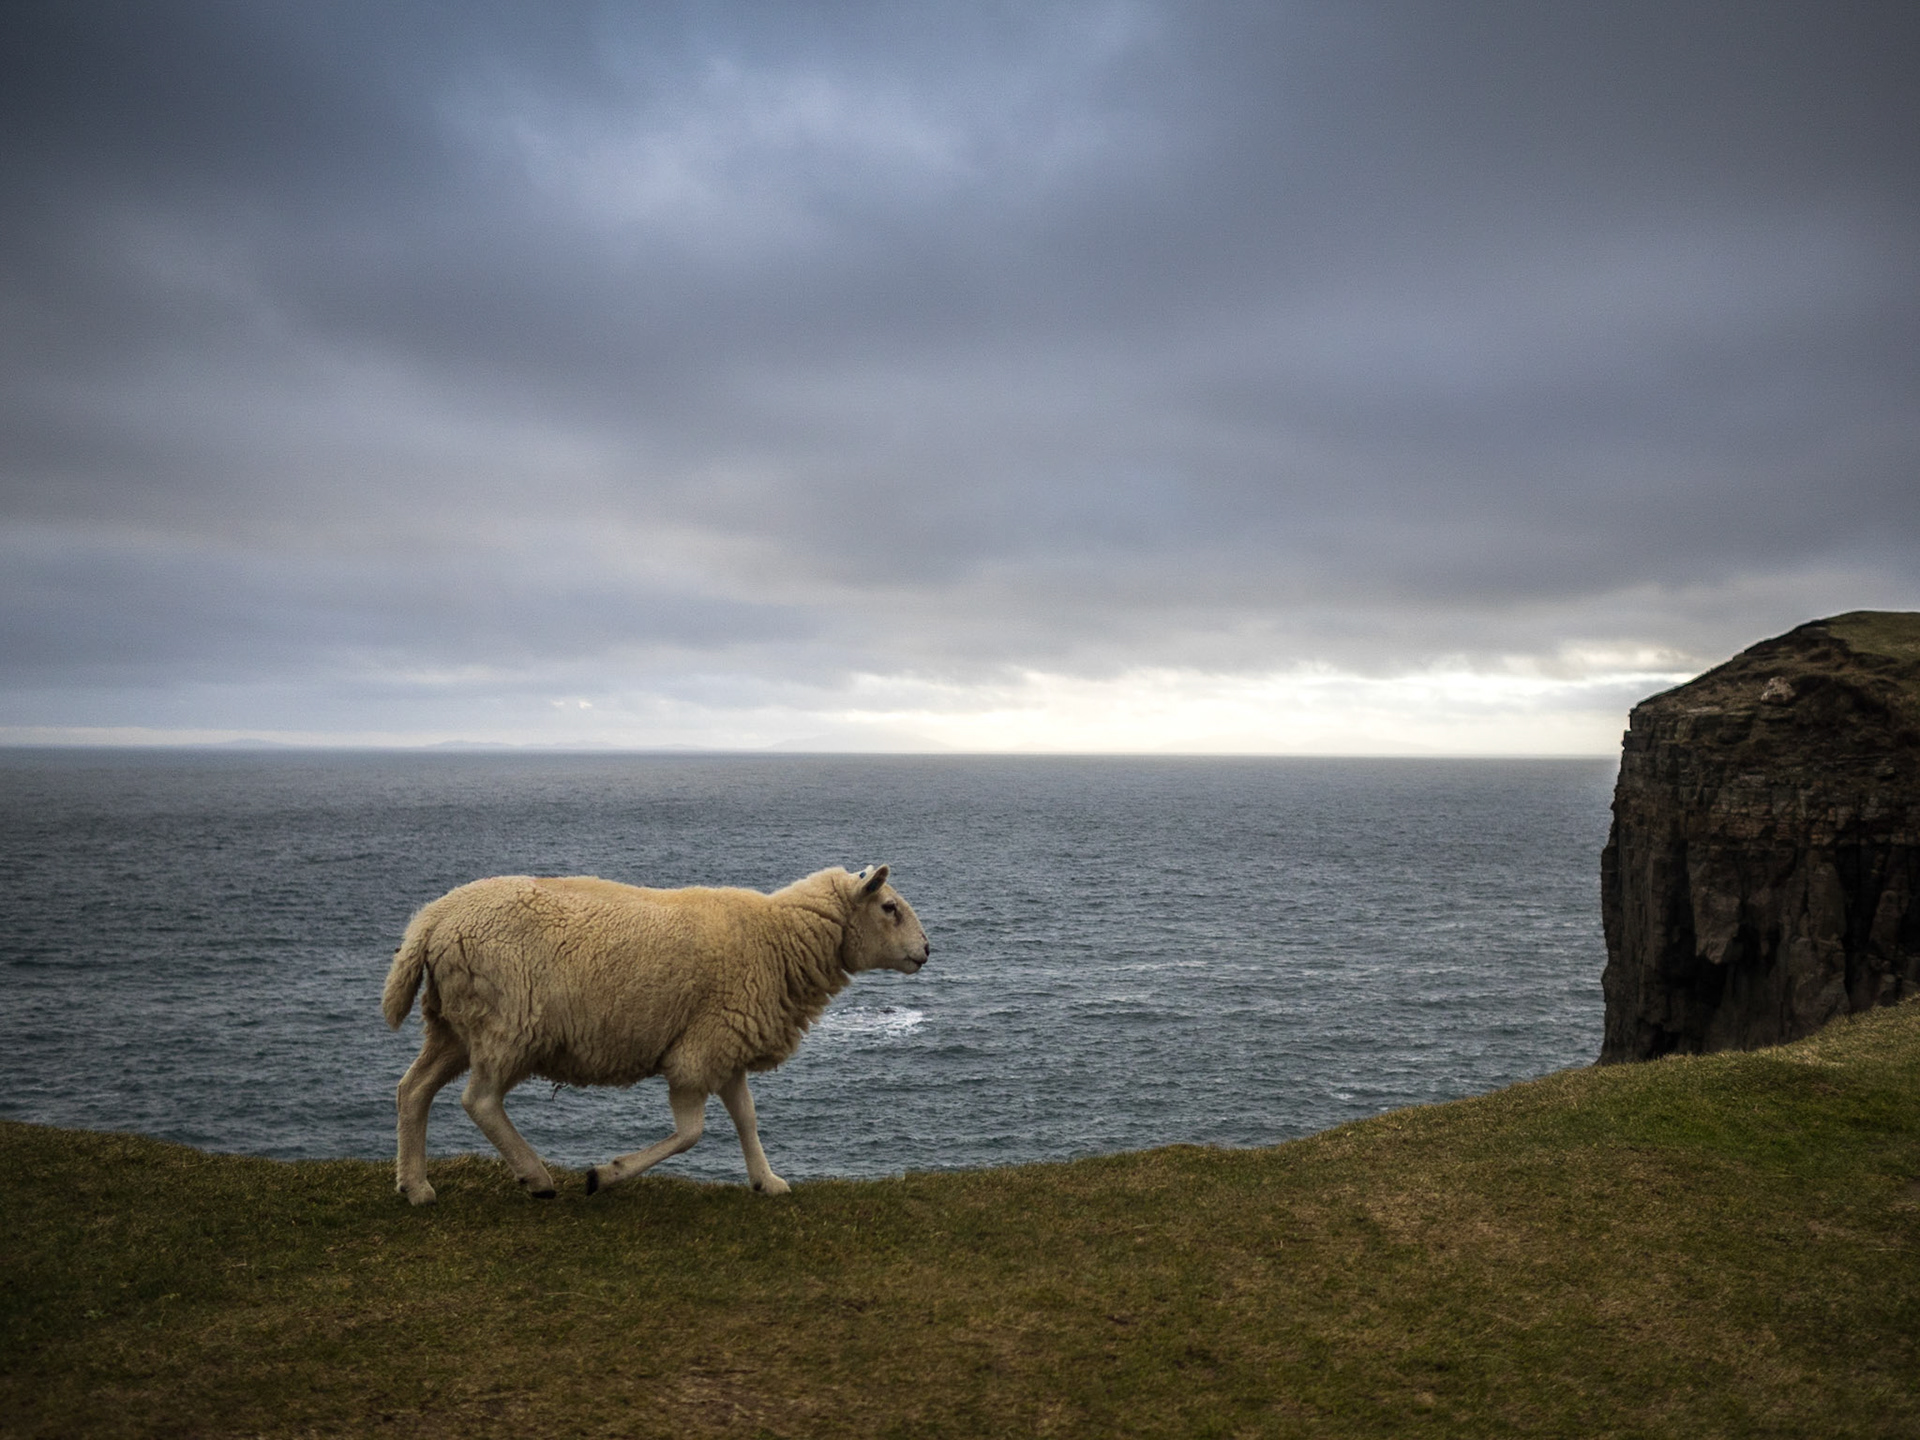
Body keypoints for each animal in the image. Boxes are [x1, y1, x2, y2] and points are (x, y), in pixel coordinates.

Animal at [381, 863, 930, 1205]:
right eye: (889, 908)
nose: (927, 950)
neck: (778, 939)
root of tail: (431, 919)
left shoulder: (726, 1042)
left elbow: (747, 1119)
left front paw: (766, 1181)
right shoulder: (698, 1050)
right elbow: (691, 1133)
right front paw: (605, 1174)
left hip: (455, 1025)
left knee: (414, 1089)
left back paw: (415, 1186)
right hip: (510, 1023)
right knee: (479, 1100)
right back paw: (535, 1177)